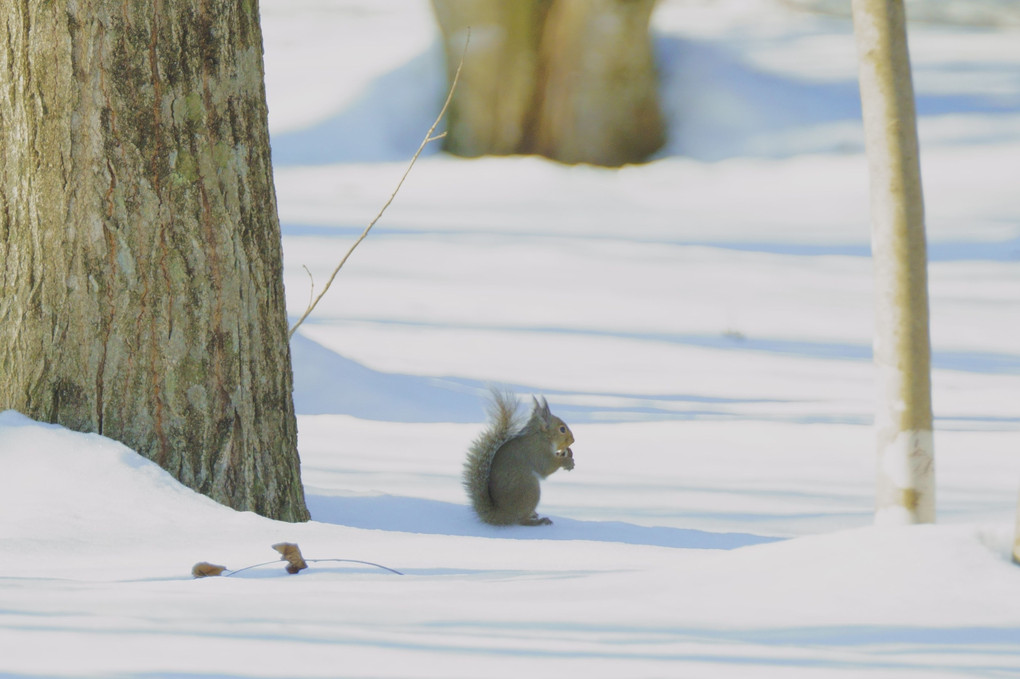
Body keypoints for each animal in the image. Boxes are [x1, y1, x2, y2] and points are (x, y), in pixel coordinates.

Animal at [463, 389, 575, 526]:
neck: (541, 435)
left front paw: (564, 454)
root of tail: (502, 514)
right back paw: (539, 521)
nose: (573, 440)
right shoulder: (536, 451)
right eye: (562, 429)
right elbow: (547, 467)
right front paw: (567, 461)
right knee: (522, 520)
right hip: (530, 489)